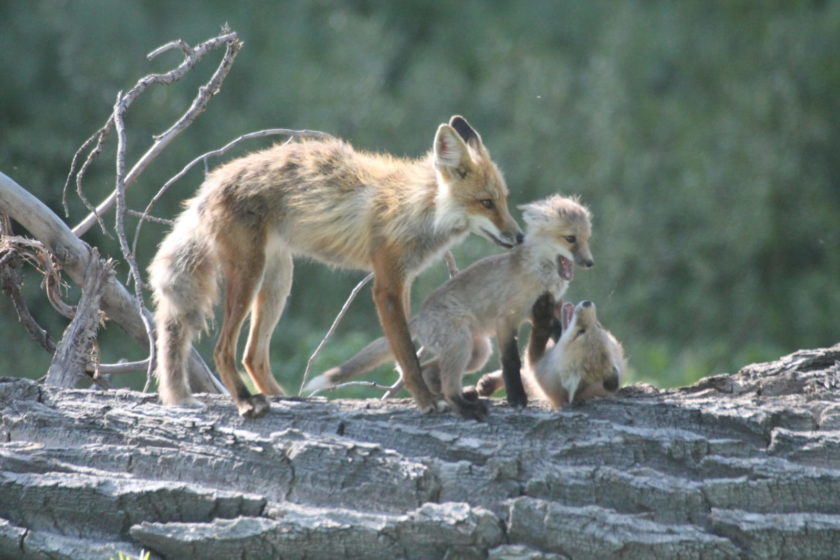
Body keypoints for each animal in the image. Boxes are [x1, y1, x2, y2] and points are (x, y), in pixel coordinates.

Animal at [148, 116, 520, 418]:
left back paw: (286, 398)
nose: (518, 237)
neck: (418, 208)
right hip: (249, 275)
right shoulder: (385, 285)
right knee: (224, 349)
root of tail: (209, 183)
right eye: (486, 203)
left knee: (252, 356)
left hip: (279, 280)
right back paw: (245, 401)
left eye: (504, 200)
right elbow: (406, 355)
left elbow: (404, 349)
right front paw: (427, 402)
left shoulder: (405, 280)